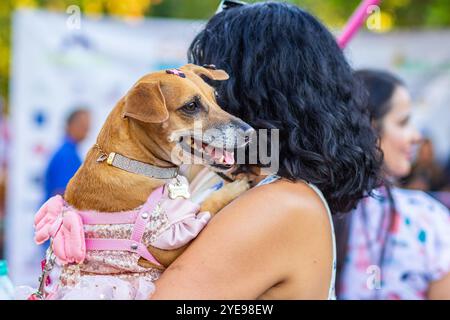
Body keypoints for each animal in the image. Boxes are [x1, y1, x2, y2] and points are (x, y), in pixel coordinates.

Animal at [63, 65, 253, 270]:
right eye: (191, 106)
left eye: (215, 97)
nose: (250, 132)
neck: (136, 165)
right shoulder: (170, 245)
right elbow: (207, 204)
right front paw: (234, 189)